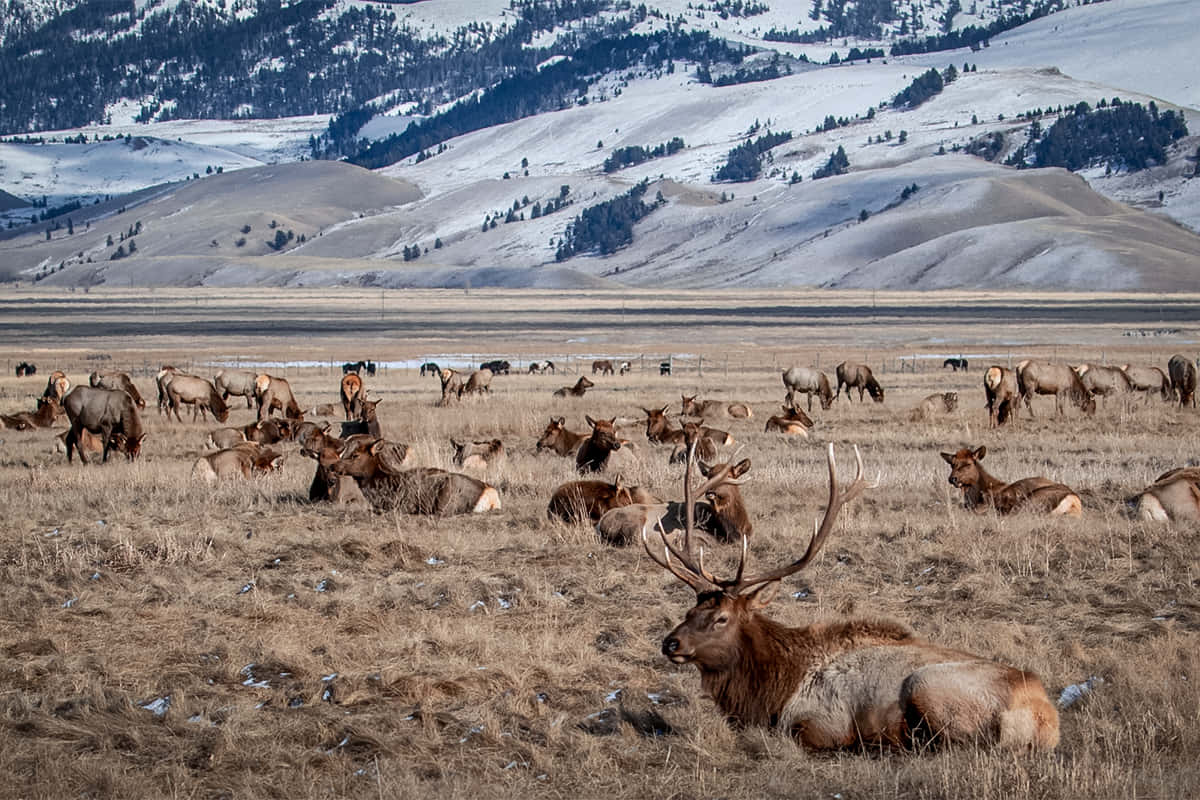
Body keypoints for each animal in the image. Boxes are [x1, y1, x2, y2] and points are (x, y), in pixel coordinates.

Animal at [644, 442, 1059, 752]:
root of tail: (1045, 718)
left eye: (722, 618)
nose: (670, 643)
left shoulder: (820, 721)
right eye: (689, 610)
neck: (772, 687)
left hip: (928, 685)